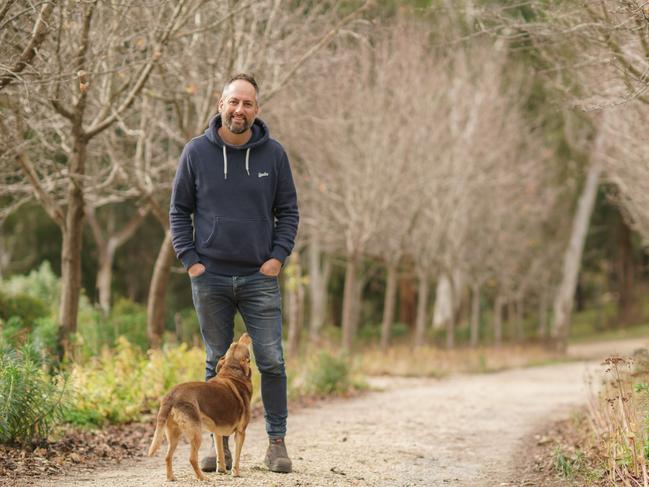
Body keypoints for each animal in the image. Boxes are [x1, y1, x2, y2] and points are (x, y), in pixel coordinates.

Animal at [148, 336, 252, 480]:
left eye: (233, 344)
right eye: (241, 344)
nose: (247, 334)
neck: (232, 371)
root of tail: (171, 395)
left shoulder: (217, 432)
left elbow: (220, 454)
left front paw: (221, 470)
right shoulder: (241, 432)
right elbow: (237, 457)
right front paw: (235, 473)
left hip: (174, 433)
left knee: (167, 456)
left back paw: (171, 478)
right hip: (196, 433)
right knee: (192, 458)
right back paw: (202, 478)